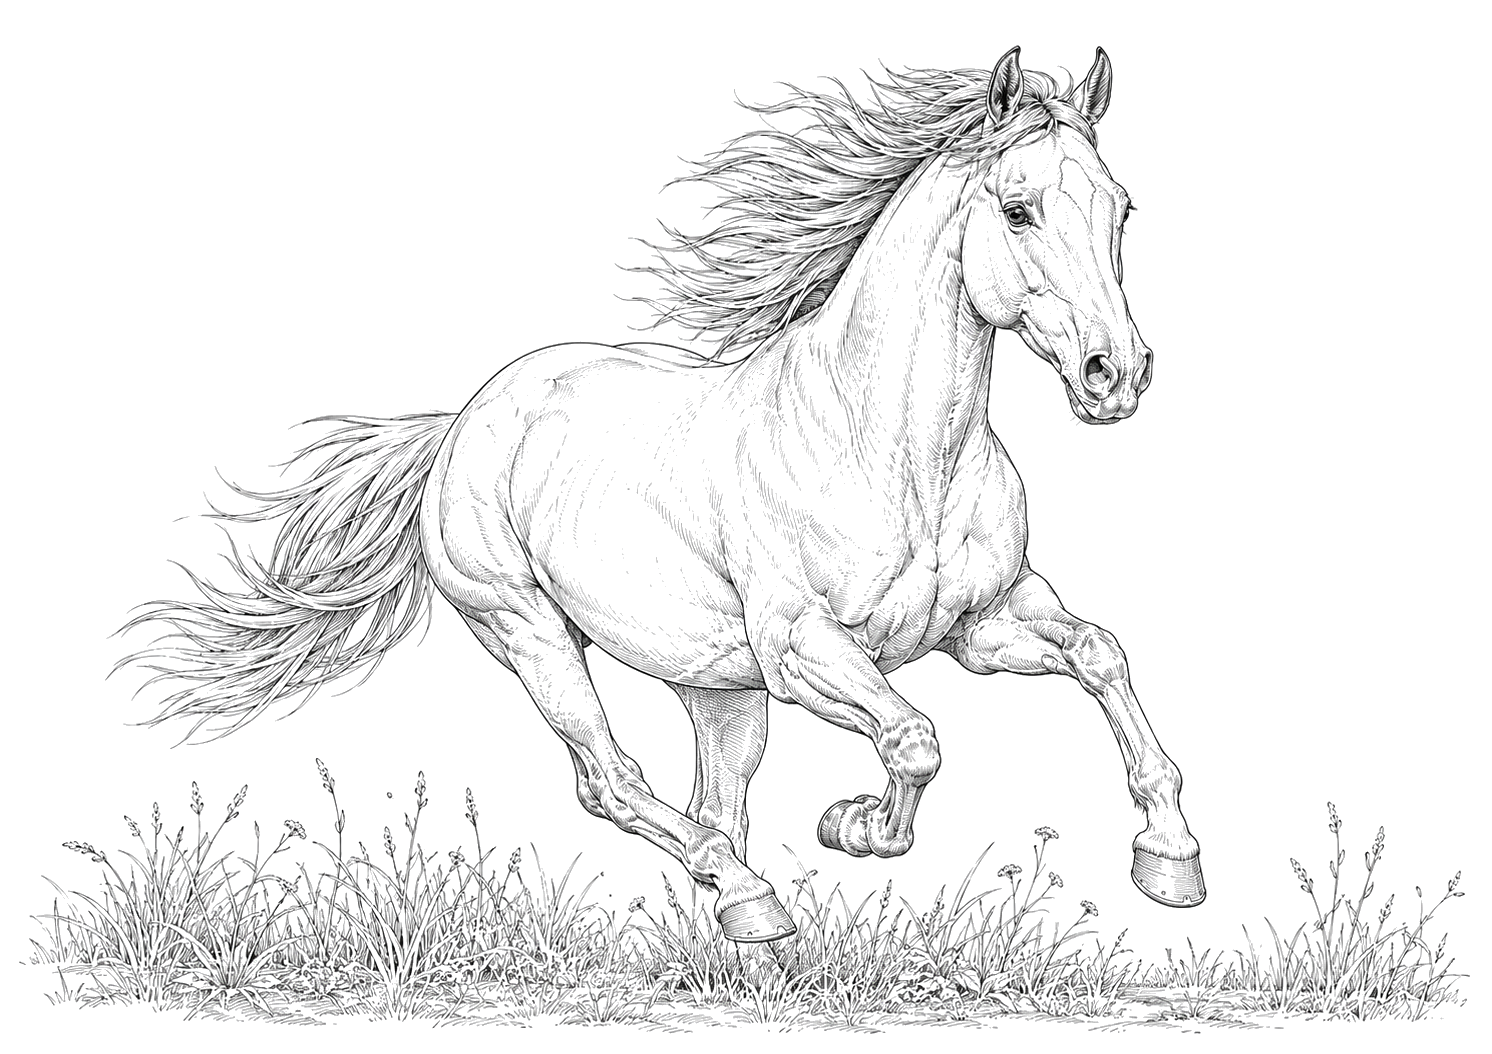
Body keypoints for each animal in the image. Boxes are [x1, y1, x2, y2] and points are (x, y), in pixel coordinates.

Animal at [123, 46, 1204, 943]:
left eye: (1120, 209)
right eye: (1018, 209)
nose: (1117, 375)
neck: (889, 449)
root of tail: (467, 419)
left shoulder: (984, 621)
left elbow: (1101, 656)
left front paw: (1171, 860)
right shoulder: (805, 646)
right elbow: (913, 738)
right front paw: (860, 828)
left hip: (721, 690)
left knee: (713, 798)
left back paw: (746, 919)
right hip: (531, 633)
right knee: (615, 782)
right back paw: (746, 891)